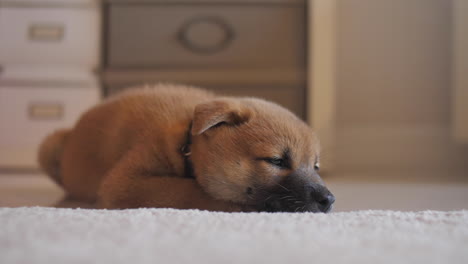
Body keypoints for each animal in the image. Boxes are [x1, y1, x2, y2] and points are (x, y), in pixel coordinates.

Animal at [38, 84, 334, 212]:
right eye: (276, 161)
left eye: (316, 166)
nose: (328, 200)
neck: (188, 145)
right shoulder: (124, 181)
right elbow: (187, 191)